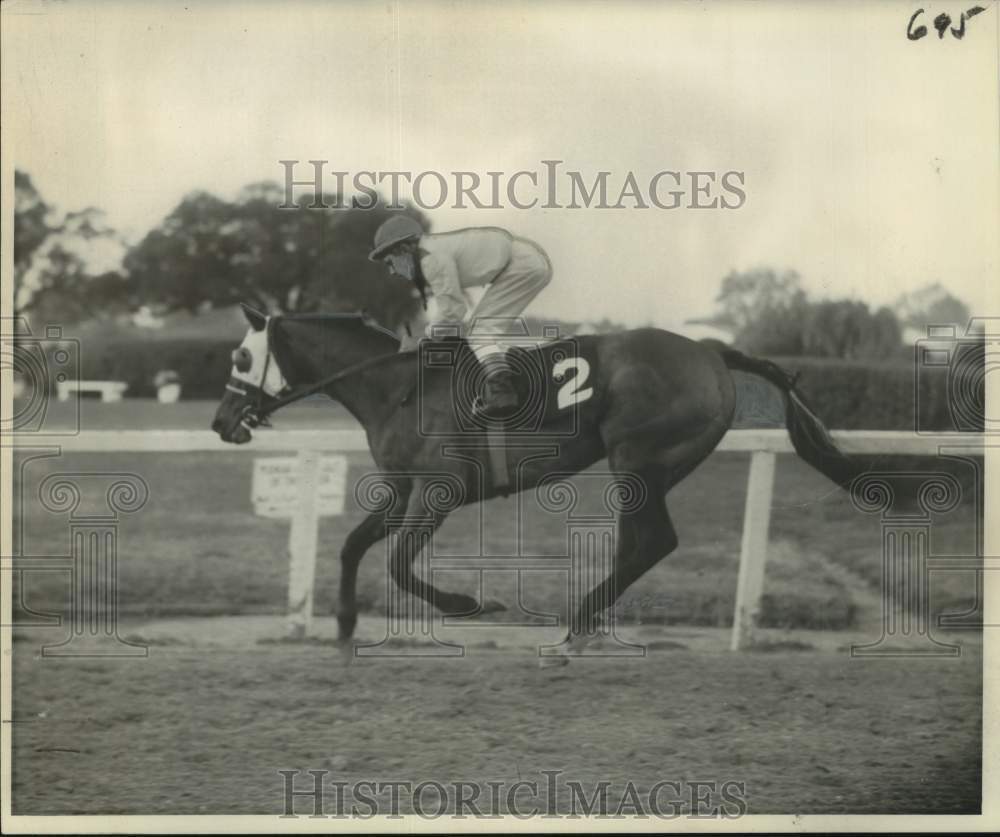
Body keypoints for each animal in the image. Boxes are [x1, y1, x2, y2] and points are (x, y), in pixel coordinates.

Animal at [211, 306, 860, 652]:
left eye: (241, 359)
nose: (220, 422)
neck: (399, 389)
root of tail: (710, 352)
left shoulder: (438, 492)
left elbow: (396, 565)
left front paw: (473, 603)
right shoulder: (400, 489)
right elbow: (350, 547)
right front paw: (344, 627)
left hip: (639, 457)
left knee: (654, 540)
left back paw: (578, 621)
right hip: (646, 468)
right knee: (640, 545)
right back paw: (587, 622)